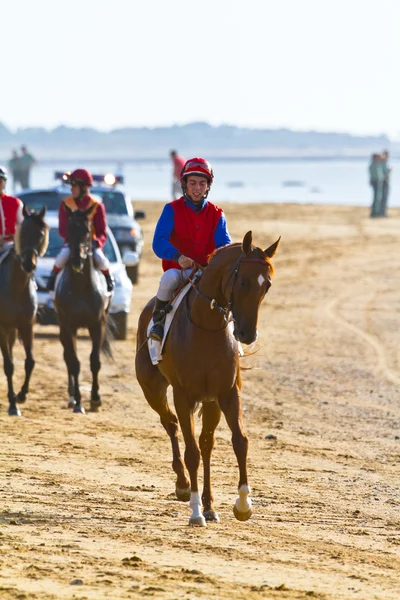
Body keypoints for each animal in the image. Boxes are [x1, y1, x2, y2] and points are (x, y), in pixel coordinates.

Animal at [53, 205, 112, 412]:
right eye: (69, 230)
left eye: (87, 230)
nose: (77, 260)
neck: (80, 288)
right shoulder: (68, 326)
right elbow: (74, 363)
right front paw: (78, 401)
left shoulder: (98, 324)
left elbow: (95, 361)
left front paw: (95, 399)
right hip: (63, 328)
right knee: (68, 357)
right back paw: (72, 397)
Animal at [136, 232, 280, 528]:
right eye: (243, 281)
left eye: (267, 285)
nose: (247, 334)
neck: (206, 326)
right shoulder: (183, 396)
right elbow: (191, 452)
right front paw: (195, 511)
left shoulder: (227, 393)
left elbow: (239, 441)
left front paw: (243, 504)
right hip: (152, 389)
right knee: (170, 424)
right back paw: (183, 485)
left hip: (211, 402)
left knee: (206, 444)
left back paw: (210, 504)